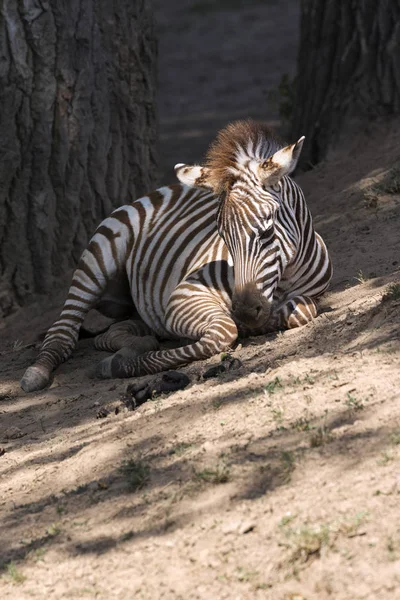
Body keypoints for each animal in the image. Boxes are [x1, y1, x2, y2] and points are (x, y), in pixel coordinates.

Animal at [19, 122, 332, 394]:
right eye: (223, 237)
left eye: (266, 233)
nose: (244, 311)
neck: (285, 277)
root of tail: (164, 188)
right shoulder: (184, 296)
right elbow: (224, 331)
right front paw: (119, 366)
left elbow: (302, 310)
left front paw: (262, 321)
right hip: (98, 256)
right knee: (63, 332)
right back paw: (37, 373)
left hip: (137, 307)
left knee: (112, 332)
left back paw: (137, 341)